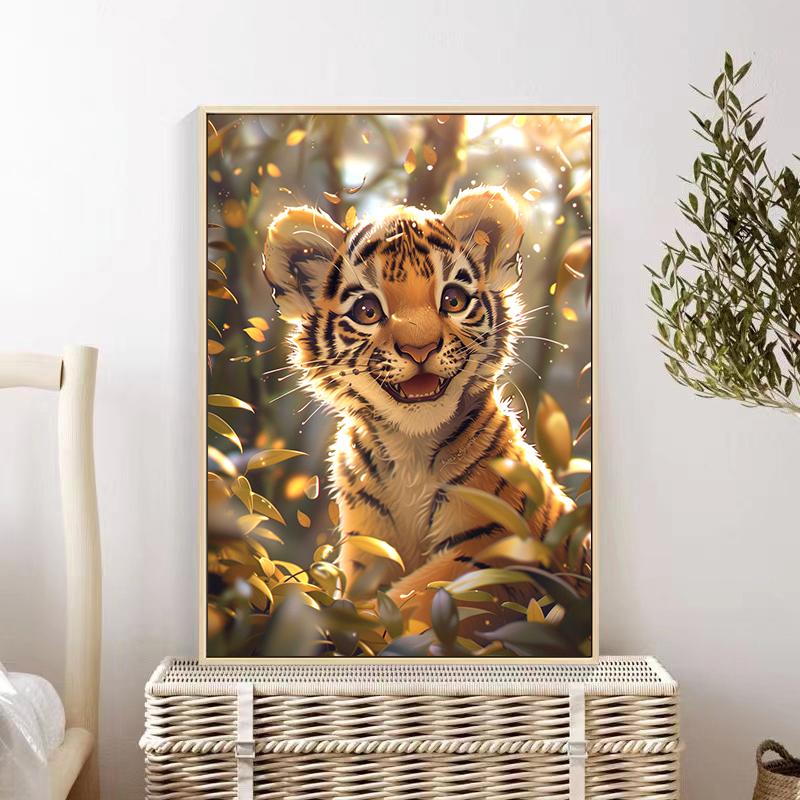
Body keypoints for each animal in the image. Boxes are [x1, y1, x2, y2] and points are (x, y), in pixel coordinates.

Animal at [262, 185, 574, 626]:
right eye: (367, 311)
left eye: (453, 299)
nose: (420, 349)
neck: (410, 448)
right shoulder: (367, 548)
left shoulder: (490, 548)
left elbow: (416, 603)